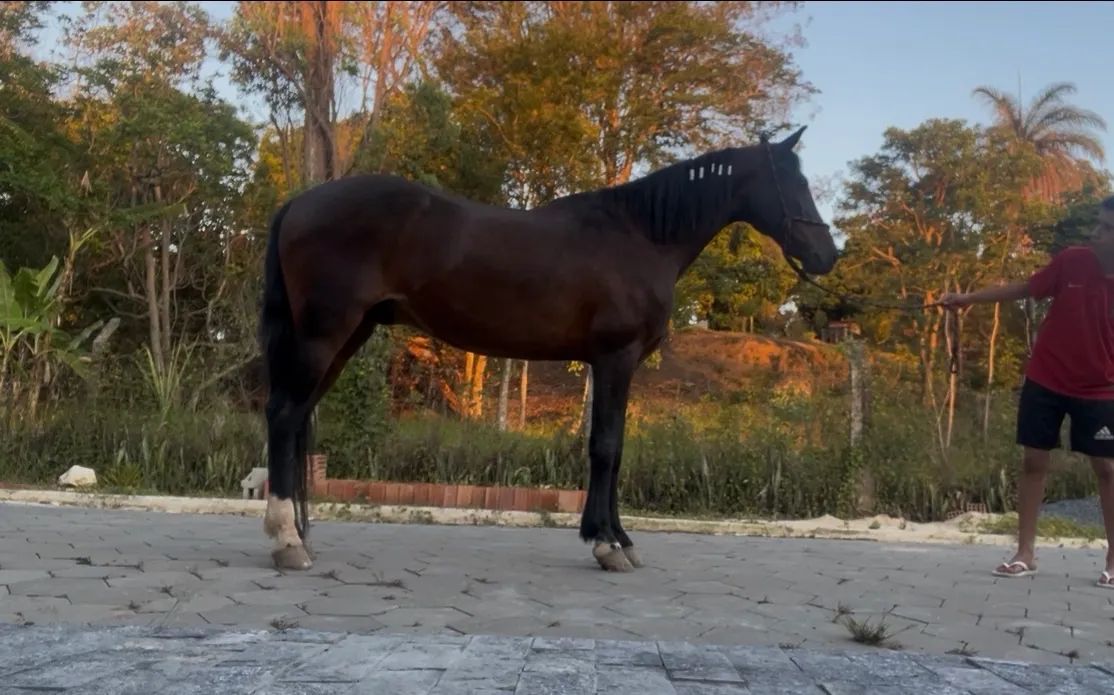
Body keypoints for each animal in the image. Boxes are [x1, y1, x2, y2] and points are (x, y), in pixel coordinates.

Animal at [259, 126, 837, 572]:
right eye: (795, 182)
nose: (826, 254)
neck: (641, 235)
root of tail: (299, 202)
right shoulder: (615, 358)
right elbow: (605, 448)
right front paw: (606, 545)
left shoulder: (616, 365)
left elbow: (615, 450)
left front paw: (620, 538)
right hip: (325, 334)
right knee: (285, 415)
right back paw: (287, 540)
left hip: (348, 336)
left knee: (295, 417)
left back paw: (297, 535)